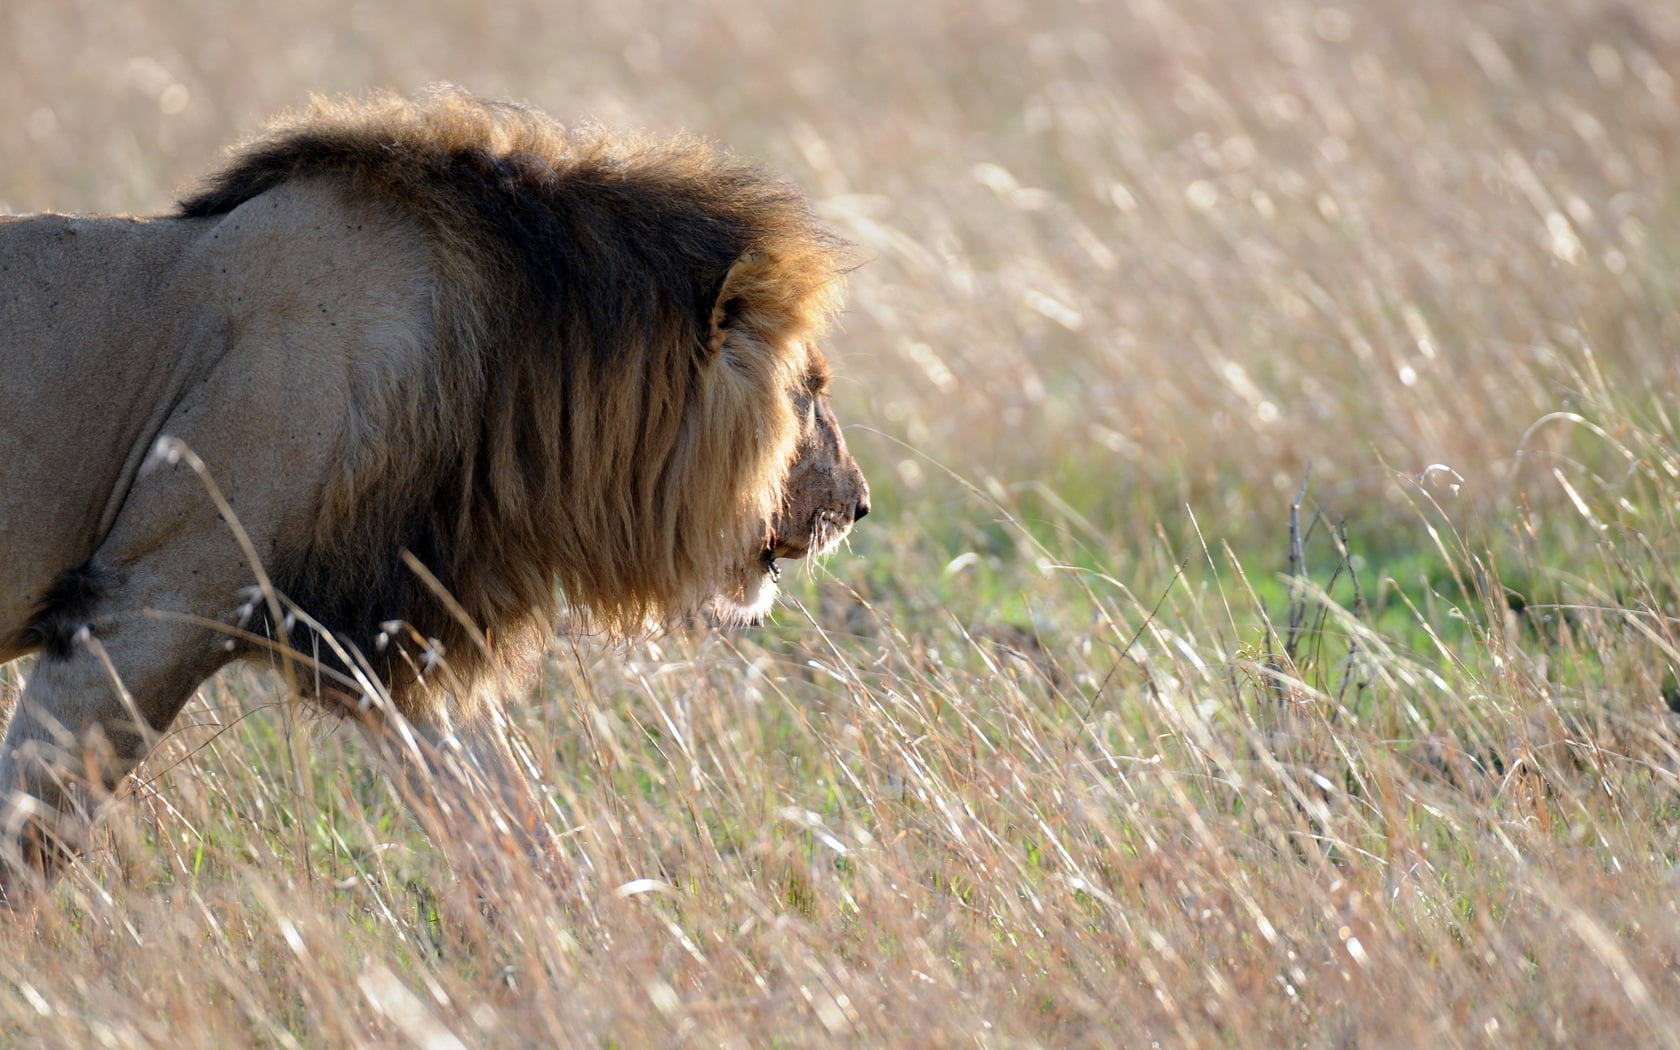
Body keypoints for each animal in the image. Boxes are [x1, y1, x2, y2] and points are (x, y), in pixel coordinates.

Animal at [0, 89, 866, 893]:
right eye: (810, 390)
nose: (857, 505)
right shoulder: (139, 608)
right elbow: (30, 831)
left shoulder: (378, 633)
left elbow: (503, 822)